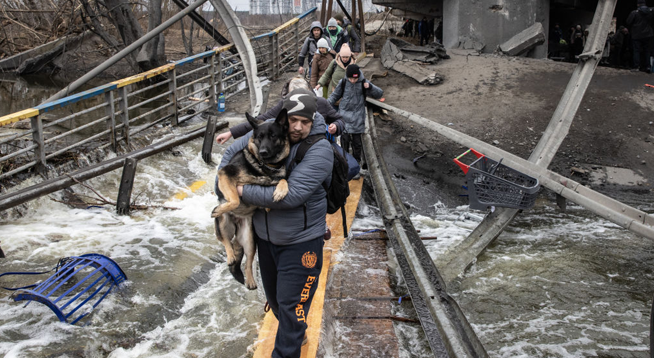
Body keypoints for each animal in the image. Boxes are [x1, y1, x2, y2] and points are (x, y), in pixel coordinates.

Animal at [213, 108, 292, 288]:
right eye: (259, 137)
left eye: (273, 136)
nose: (263, 152)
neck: (265, 165)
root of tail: (236, 223)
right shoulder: (225, 173)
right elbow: (235, 199)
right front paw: (220, 207)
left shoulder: (276, 177)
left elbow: (283, 180)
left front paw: (280, 191)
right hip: (223, 224)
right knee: (225, 241)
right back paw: (230, 255)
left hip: (249, 239)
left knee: (248, 261)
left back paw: (250, 281)